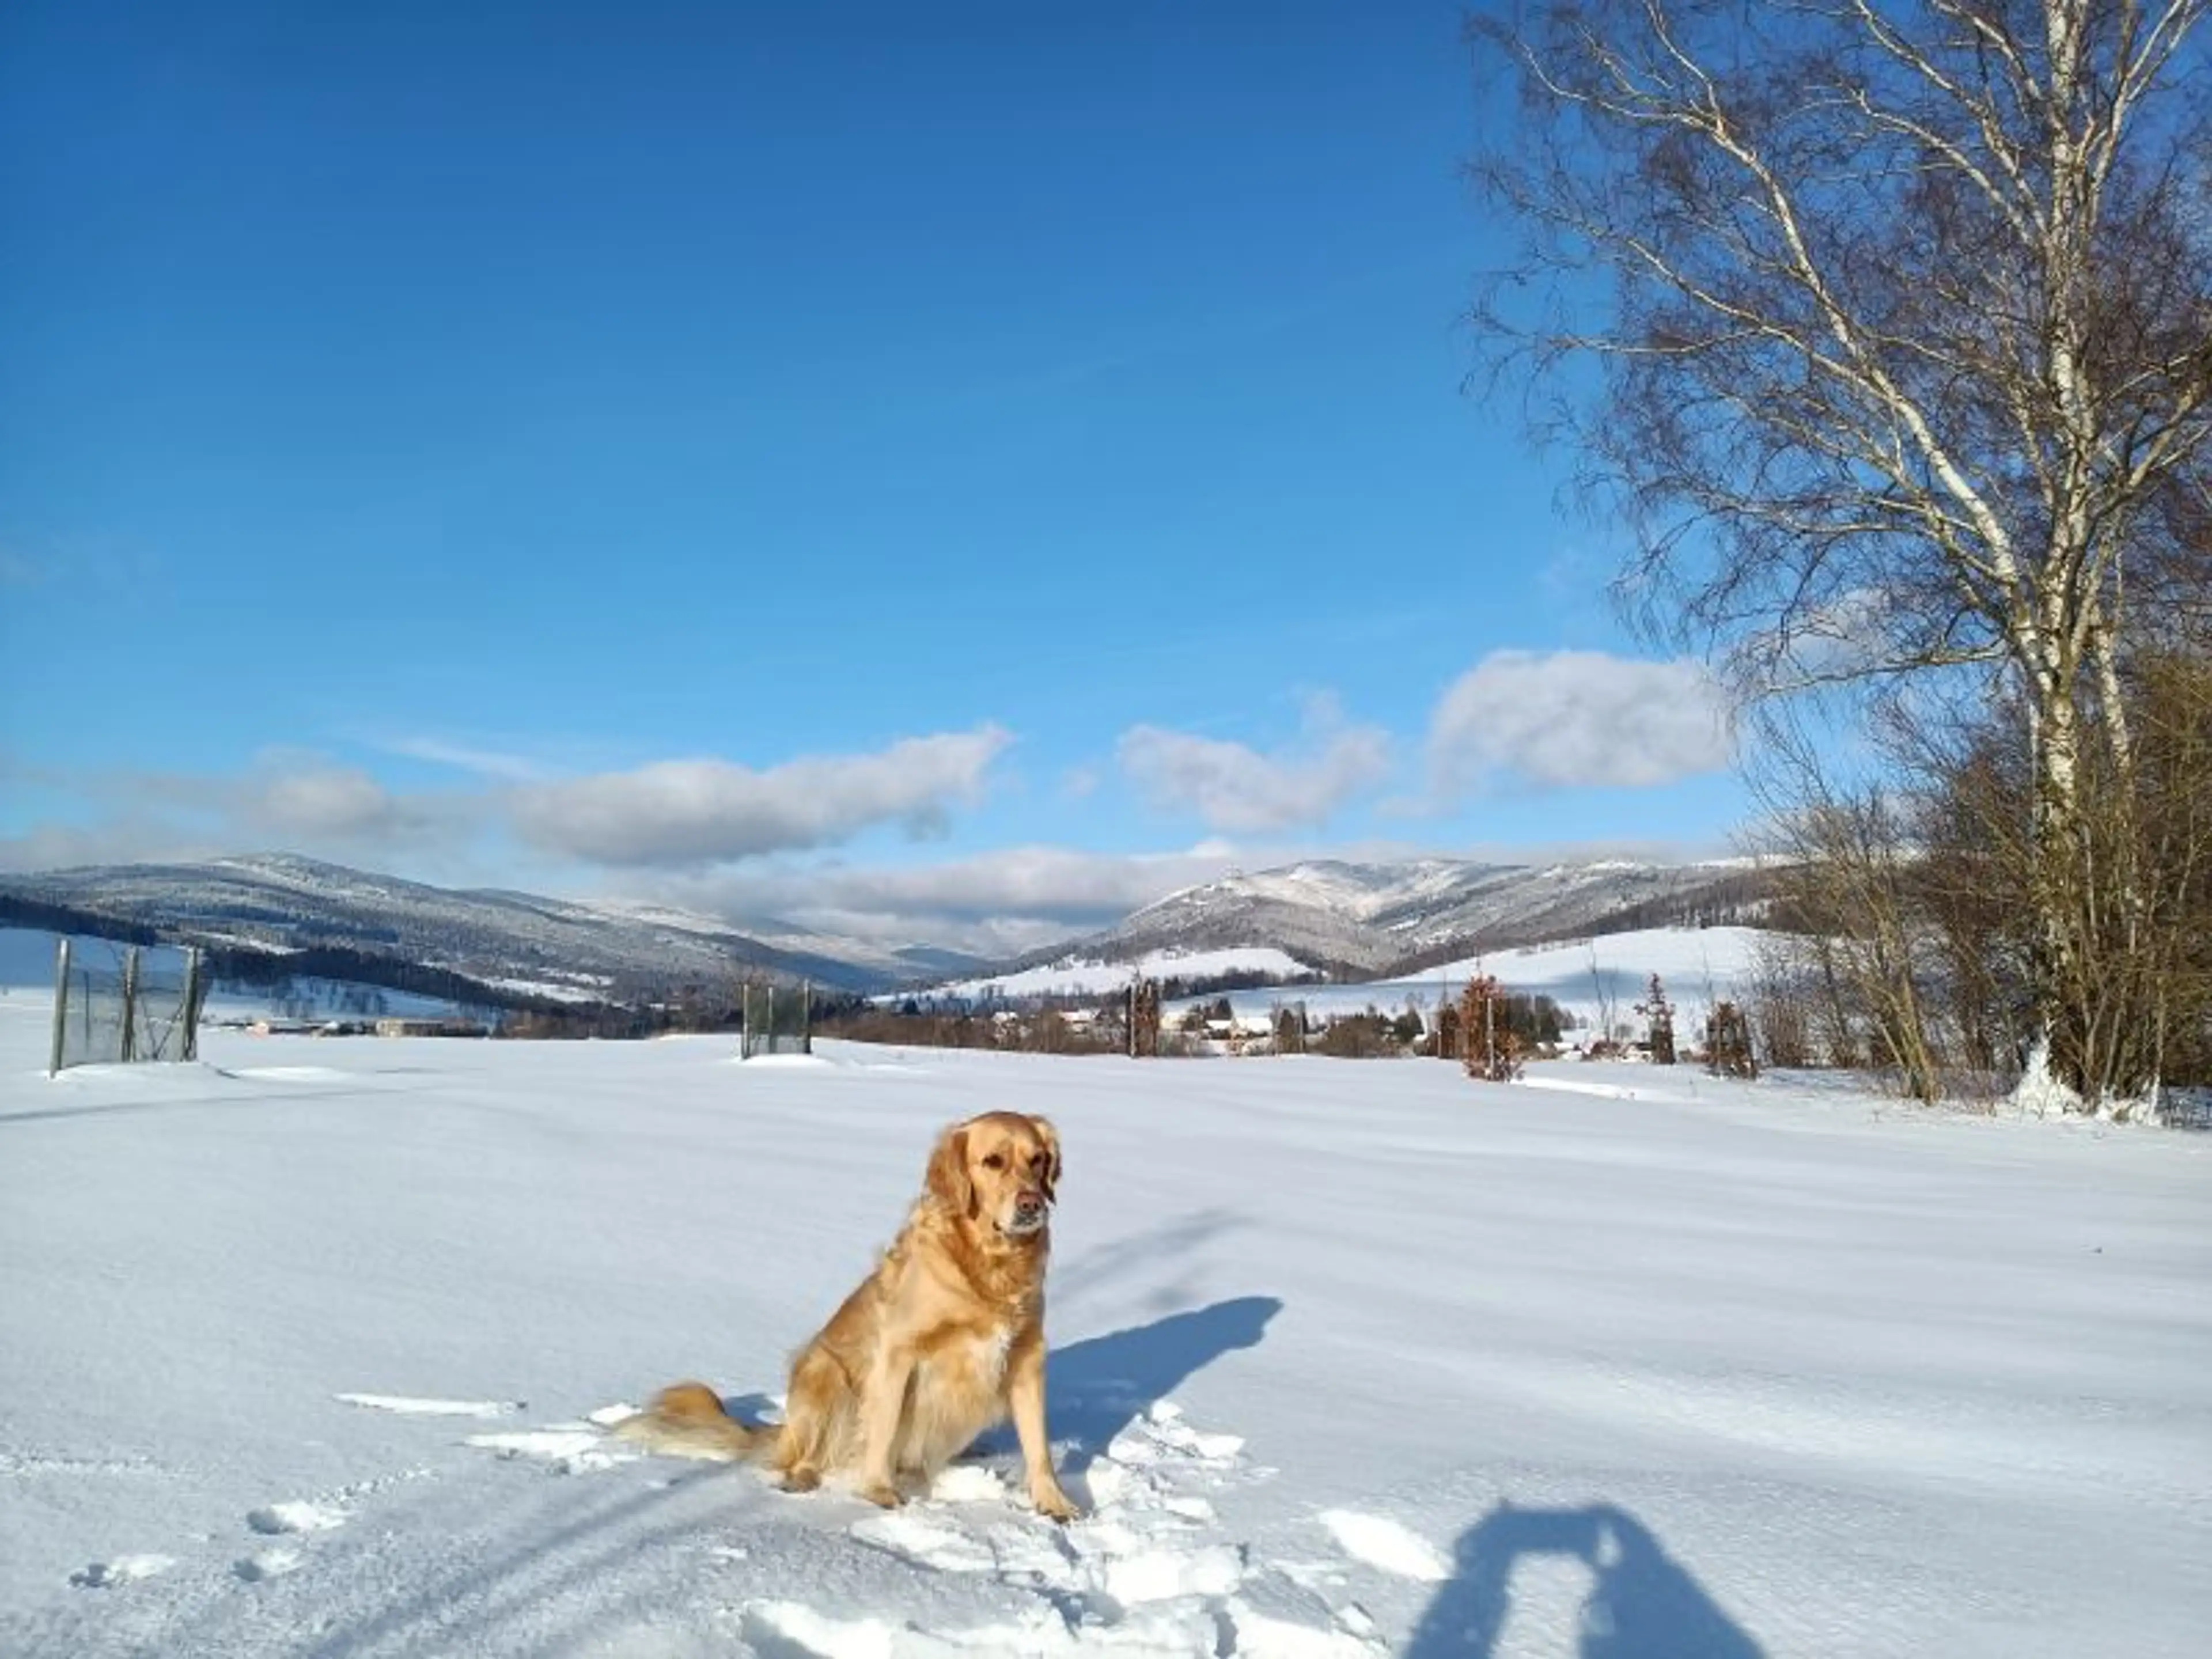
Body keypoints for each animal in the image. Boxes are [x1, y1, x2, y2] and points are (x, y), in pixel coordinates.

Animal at [615, 1119, 1079, 1521]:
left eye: (1038, 1159)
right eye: (992, 1161)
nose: (1032, 1205)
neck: (991, 1265)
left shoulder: (1027, 1356)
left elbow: (1038, 1444)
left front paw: (1053, 1502)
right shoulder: (897, 1353)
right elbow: (884, 1426)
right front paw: (877, 1491)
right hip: (824, 1372)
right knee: (807, 1456)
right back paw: (802, 1480)